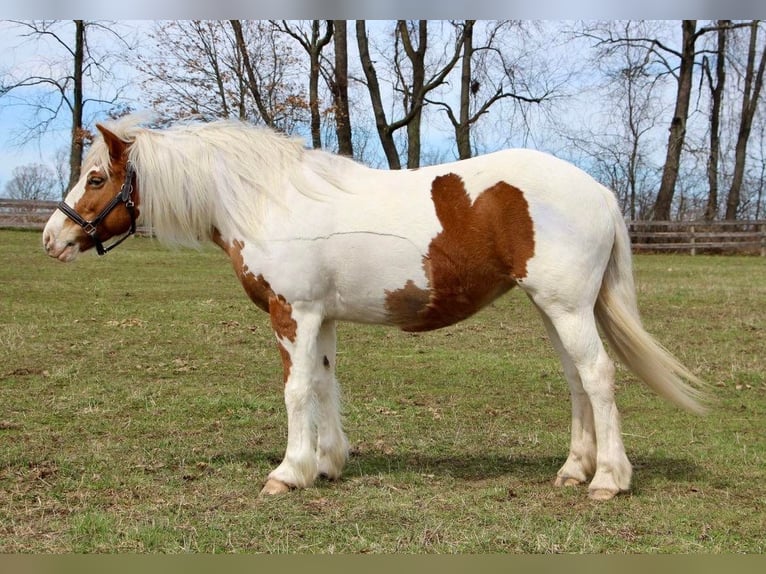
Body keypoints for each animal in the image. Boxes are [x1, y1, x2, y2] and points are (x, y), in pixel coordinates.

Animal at [43, 115, 708, 502]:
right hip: (554, 309)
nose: (52, 237)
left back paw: (608, 480)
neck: (269, 200)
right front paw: (328, 464)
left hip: (567, 307)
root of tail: (597, 190)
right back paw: (574, 470)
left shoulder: (294, 313)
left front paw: (289, 472)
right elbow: (324, 385)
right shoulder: (322, 318)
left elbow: (296, 390)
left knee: (597, 377)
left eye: (96, 177)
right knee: (576, 381)